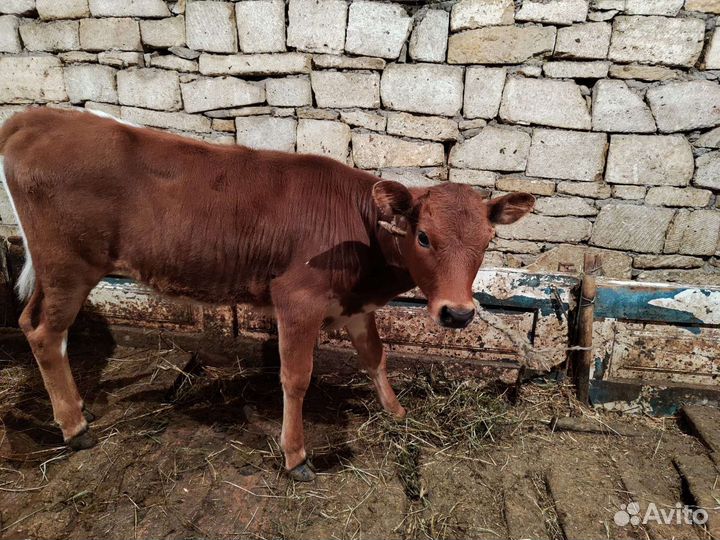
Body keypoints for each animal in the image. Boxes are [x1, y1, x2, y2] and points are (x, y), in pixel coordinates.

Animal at [0, 107, 534, 481]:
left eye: (488, 240)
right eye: (423, 236)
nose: (458, 314)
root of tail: (40, 116)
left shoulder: (353, 303)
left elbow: (375, 356)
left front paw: (397, 412)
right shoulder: (298, 297)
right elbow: (296, 377)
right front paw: (296, 455)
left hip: (54, 268)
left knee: (34, 324)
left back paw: (78, 409)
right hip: (69, 265)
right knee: (46, 333)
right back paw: (75, 429)